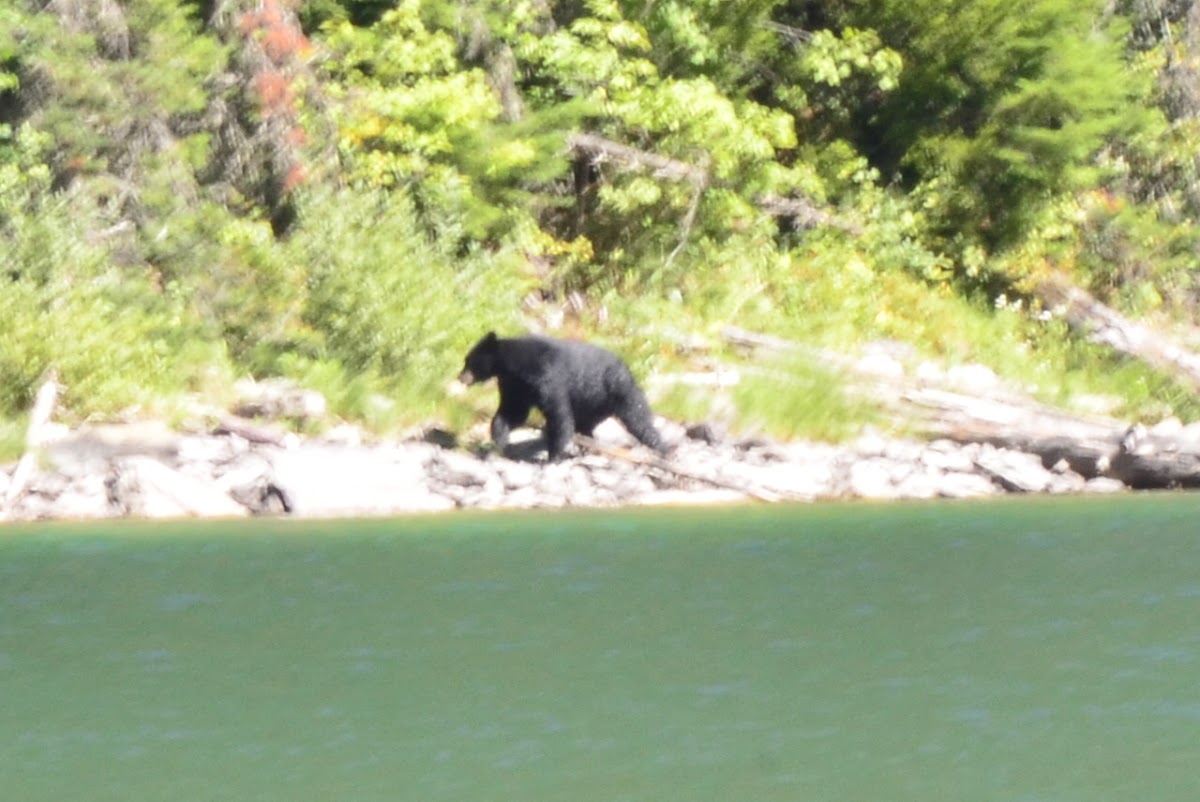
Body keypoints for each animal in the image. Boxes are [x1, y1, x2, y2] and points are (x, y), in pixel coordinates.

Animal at [456, 331, 667, 456]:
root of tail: (627, 367)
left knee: (638, 418)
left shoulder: (545, 375)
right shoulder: (514, 384)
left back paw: (660, 446)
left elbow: (558, 414)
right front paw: (498, 439)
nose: (460, 377)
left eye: (469, 361)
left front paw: (554, 456)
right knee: (586, 424)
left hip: (619, 389)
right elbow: (513, 411)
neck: (515, 365)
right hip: (593, 402)